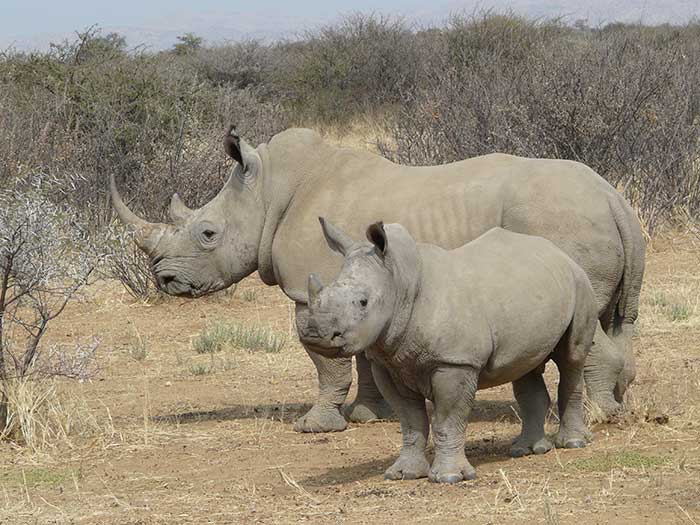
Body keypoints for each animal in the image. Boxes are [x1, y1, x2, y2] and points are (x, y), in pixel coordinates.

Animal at [110, 126, 645, 432]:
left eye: (207, 233)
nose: (165, 278)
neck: (267, 193)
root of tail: (613, 198)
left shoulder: (312, 291)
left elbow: (327, 362)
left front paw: (316, 426)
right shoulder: (356, 290)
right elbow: (363, 355)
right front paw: (369, 415)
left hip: (560, 222)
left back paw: (597, 417)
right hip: (586, 220)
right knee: (614, 320)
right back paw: (615, 404)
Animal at [298, 219, 597, 482]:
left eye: (363, 302)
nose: (314, 334)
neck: (401, 281)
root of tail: (559, 252)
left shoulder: (455, 362)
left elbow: (448, 419)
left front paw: (449, 477)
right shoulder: (389, 363)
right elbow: (411, 421)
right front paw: (404, 474)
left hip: (581, 282)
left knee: (571, 358)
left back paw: (572, 443)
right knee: (525, 365)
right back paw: (526, 449)